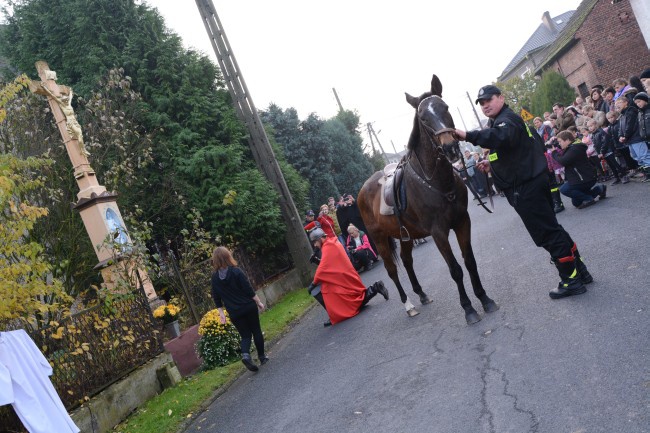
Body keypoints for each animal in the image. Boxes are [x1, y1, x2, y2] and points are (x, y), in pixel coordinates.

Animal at [354, 75, 496, 324]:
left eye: (445, 107)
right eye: (423, 117)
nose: (450, 147)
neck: (439, 182)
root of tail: (364, 190)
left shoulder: (462, 222)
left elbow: (469, 261)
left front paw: (484, 298)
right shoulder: (438, 232)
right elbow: (455, 269)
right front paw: (468, 308)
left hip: (404, 235)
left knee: (406, 260)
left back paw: (421, 294)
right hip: (379, 238)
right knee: (392, 270)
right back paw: (408, 304)